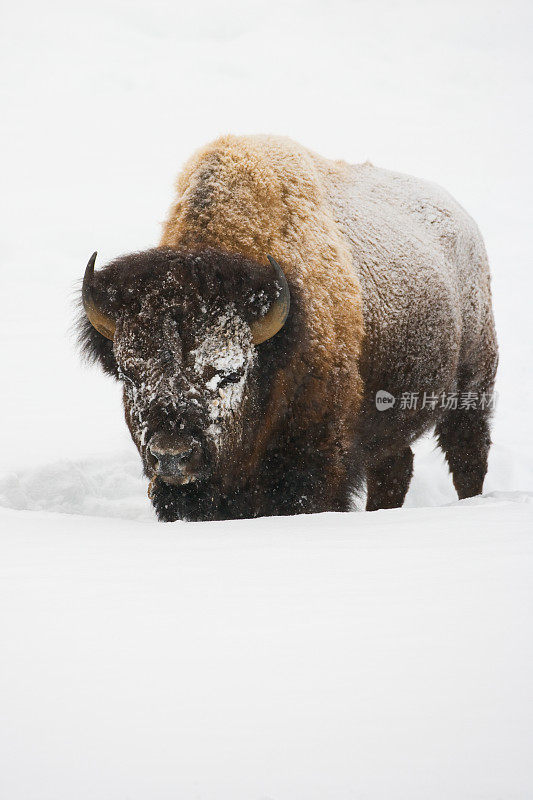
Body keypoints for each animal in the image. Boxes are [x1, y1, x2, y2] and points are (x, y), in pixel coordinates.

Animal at [77, 134, 496, 520]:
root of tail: (464, 222)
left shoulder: (315, 464)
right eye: (130, 374)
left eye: (231, 374)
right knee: (395, 467)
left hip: (473, 387)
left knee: (467, 456)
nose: (171, 457)